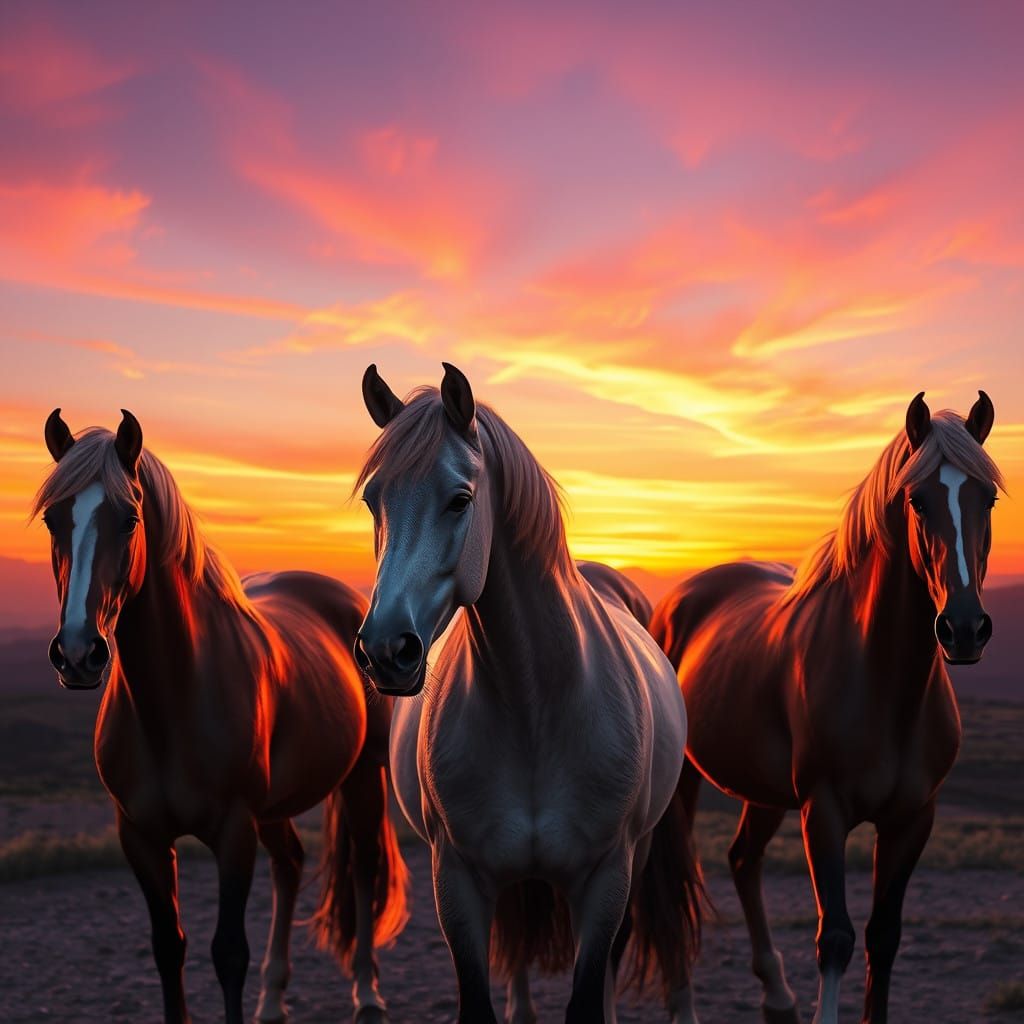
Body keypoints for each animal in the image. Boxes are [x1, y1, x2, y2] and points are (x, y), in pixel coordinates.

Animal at [33, 409, 409, 1024]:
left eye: (129, 518)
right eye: (52, 518)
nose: (78, 653)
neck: (170, 704)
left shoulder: (234, 832)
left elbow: (228, 952)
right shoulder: (140, 837)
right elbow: (169, 947)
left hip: (360, 778)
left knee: (363, 868)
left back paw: (367, 992)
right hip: (277, 805)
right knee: (292, 863)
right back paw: (273, 999)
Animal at [350, 362, 703, 1024]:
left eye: (460, 499)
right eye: (372, 499)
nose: (386, 648)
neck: (535, 708)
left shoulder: (607, 879)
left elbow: (590, 993)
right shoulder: (457, 881)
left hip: (637, 857)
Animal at [649, 391, 1003, 1024]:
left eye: (985, 496)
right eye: (918, 500)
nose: (964, 629)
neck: (885, 684)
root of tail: (678, 599)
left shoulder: (913, 819)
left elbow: (884, 936)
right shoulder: (824, 811)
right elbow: (835, 937)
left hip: (764, 791)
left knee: (742, 860)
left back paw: (777, 995)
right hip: (684, 784)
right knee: (673, 887)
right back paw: (684, 1004)